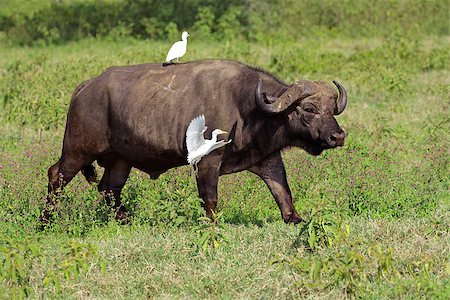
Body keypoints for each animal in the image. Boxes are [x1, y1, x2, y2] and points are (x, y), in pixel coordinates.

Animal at [43, 59, 348, 224]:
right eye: (308, 108)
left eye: (332, 109)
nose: (338, 136)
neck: (248, 107)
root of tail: (85, 87)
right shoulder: (207, 162)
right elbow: (209, 198)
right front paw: (213, 223)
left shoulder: (267, 159)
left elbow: (282, 190)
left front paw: (294, 218)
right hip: (76, 150)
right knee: (56, 176)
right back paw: (45, 221)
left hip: (121, 161)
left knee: (109, 189)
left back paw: (125, 219)